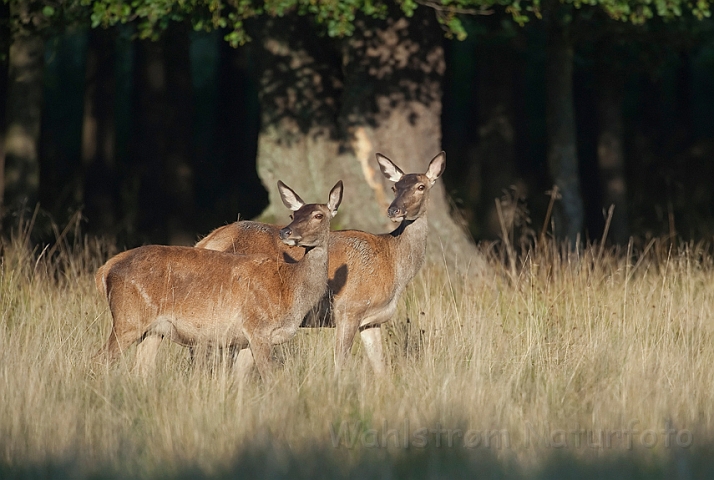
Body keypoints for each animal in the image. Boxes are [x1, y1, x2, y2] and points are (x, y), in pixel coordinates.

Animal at [93, 179, 344, 378]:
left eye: (319, 215)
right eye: (293, 214)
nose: (286, 232)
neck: (290, 290)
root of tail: (105, 270)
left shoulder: (246, 340)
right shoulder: (258, 328)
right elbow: (269, 377)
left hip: (154, 329)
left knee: (140, 369)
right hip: (129, 318)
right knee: (100, 359)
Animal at [192, 153, 442, 376]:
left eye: (421, 186)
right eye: (394, 187)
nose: (394, 210)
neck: (392, 264)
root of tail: (207, 240)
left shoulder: (372, 320)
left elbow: (380, 368)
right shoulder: (349, 308)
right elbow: (340, 362)